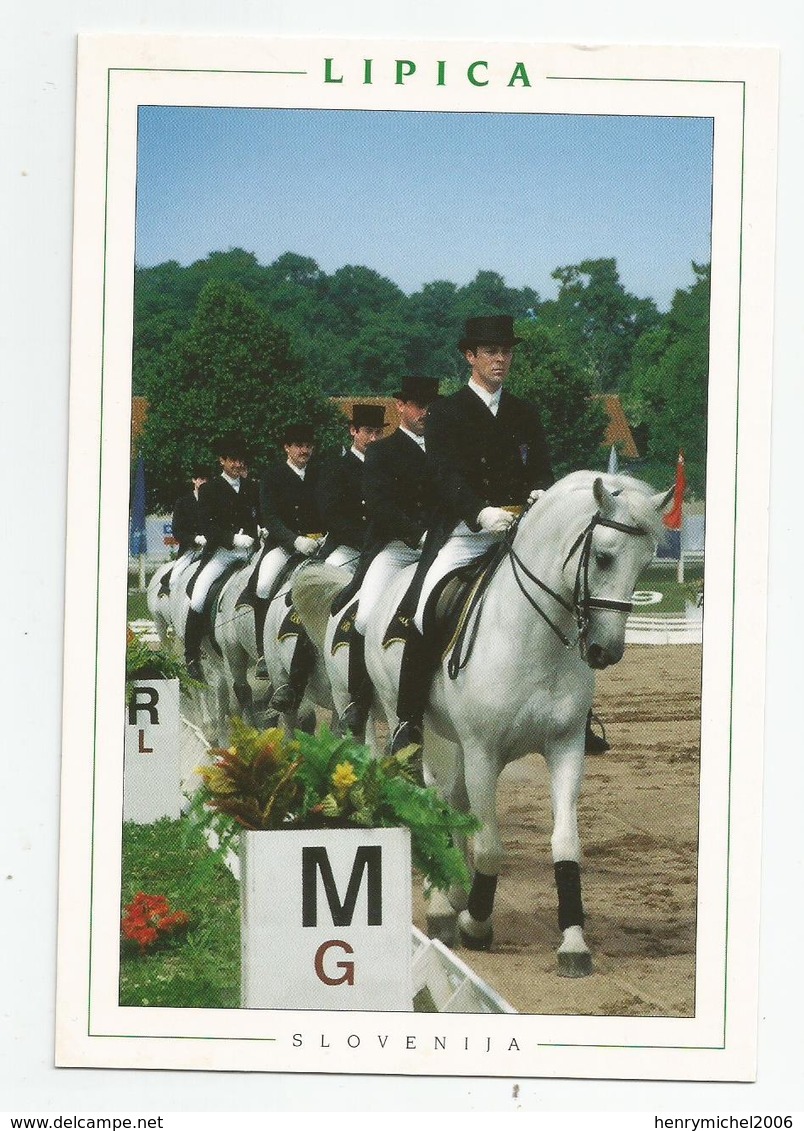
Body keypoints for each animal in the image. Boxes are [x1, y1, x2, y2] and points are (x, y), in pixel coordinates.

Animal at [296, 472, 673, 977]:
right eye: (604, 556)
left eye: (646, 561)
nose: (604, 651)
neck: (533, 634)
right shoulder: (482, 751)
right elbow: (491, 844)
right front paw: (476, 924)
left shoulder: (565, 747)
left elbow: (566, 844)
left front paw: (573, 942)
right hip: (400, 721)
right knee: (425, 792)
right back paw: (441, 907)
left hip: (447, 738)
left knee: (449, 799)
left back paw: (453, 887)